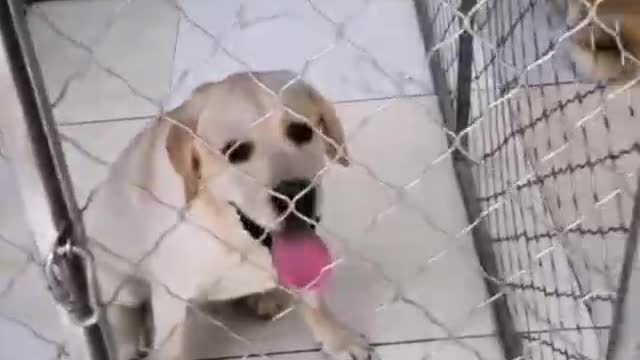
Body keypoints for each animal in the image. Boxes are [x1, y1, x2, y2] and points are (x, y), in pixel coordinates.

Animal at [65, 70, 370, 360]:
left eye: (301, 131)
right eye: (235, 152)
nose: (298, 196)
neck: (230, 234)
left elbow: (315, 303)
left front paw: (338, 340)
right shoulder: (170, 297)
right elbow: (170, 347)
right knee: (122, 309)